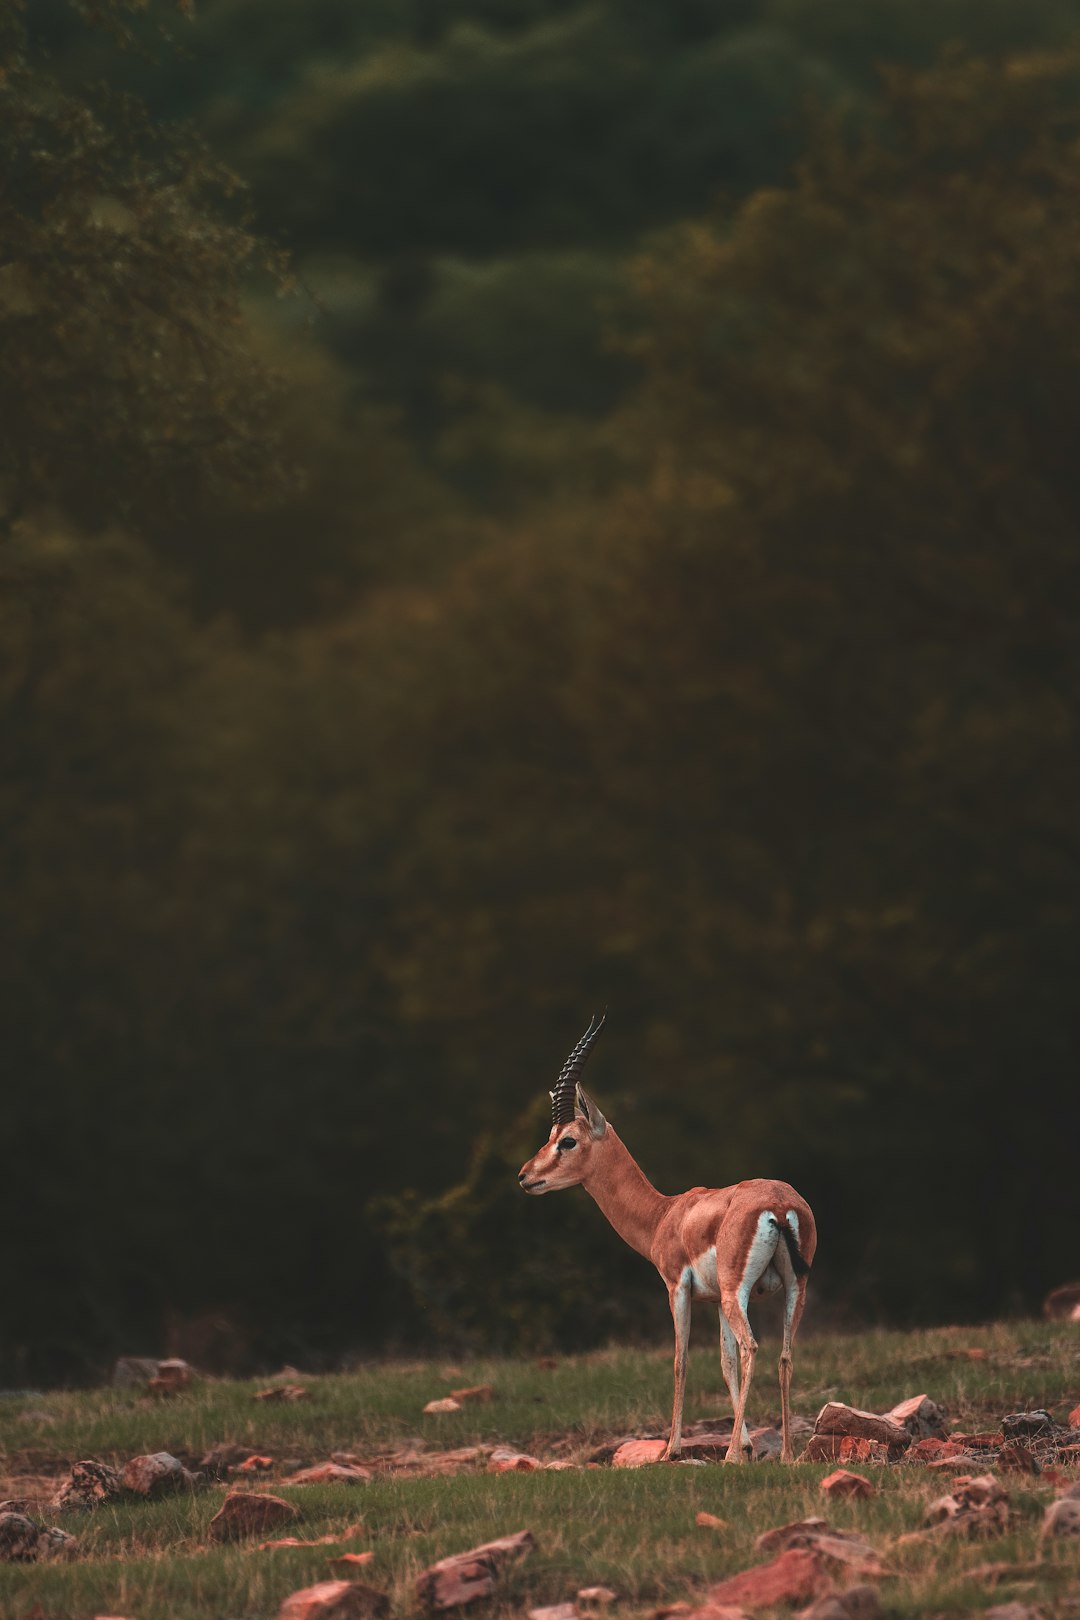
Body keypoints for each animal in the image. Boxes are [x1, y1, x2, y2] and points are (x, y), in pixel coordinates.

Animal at [518, 1017, 816, 1464]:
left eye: (566, 1140)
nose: (525, 1176)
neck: (664, 1214)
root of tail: (780, 1205)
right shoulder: (715, 1300)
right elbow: (724, 1362)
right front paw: (746, 1444)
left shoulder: (677, 1288)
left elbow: (680, 1360)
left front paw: (672, 1451)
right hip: (794, 1288)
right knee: (782, 1354)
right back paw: (784, 1455)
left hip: (739, 1291)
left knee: (752, 1347)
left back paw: (730, 1455)